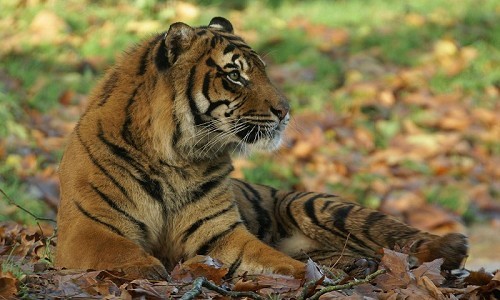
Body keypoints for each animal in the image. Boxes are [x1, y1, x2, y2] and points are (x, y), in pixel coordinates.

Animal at [55, 15, 468, 278]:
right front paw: (147, 267)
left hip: (313, 204)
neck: (178, 158)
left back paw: (447, 249)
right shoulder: (86, 229)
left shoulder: (220, 234)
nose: (286, 110)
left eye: (262, 71)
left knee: (393, 234)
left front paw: (311, 277)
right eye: (235, 75)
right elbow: (120, 250)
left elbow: (269, 257)